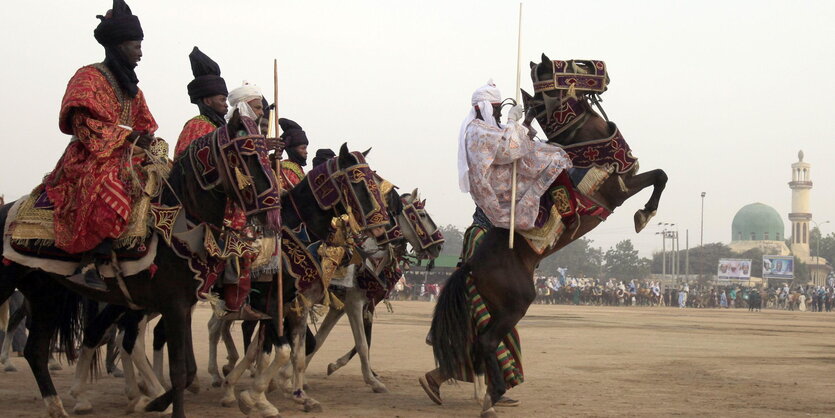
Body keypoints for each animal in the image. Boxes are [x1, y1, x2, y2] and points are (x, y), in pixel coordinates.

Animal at [428, 54, 668, 416]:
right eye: (572, 65)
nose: (603, 70)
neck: (585, 147)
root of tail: (470, 264)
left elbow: (660, 175)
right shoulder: (618, 189)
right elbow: (659, 177)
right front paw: (645, 214)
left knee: (477, 344)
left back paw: (448, 383)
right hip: (516, 302)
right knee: (486, 340)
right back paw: (492, 395)